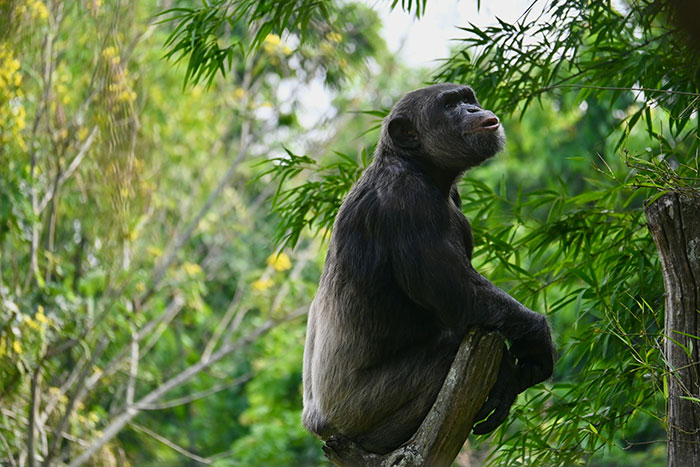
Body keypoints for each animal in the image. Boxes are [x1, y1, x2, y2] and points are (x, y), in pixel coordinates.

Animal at [302, 83, 555, 454]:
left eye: (467, 98)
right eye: (449, 105)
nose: (471, 109)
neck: (420, 167)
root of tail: (315, 422)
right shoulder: (409, 204)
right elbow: (460, 294)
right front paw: (537, 343)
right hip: (356, 410)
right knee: (445, 353)